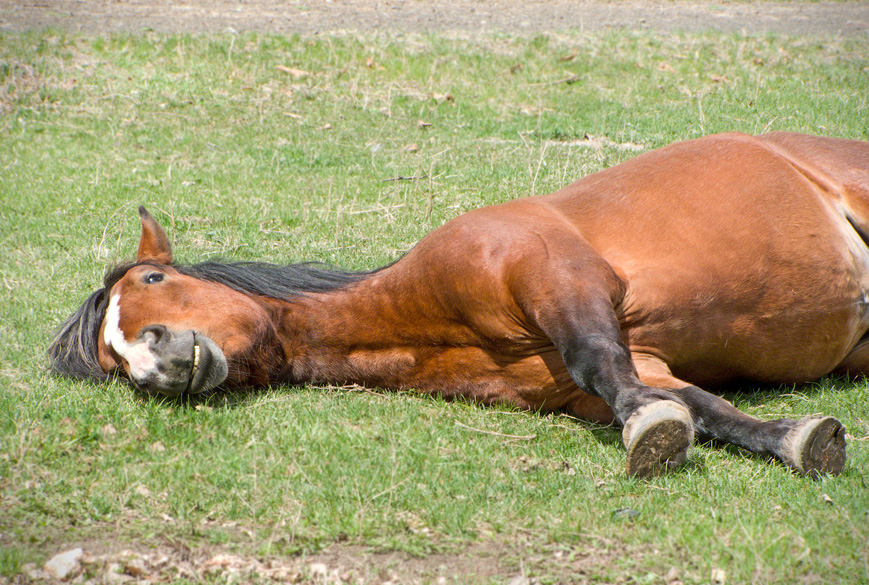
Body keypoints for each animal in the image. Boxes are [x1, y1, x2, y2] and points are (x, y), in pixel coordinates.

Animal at [50, 131, 864, 474]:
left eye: (151, 283)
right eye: (113, 363)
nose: (155, 360)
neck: (420, 315)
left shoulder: (558, 275)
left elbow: (598, 357)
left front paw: (653, 431)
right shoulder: (619, 373)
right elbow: (700, 406)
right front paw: (795, 438)